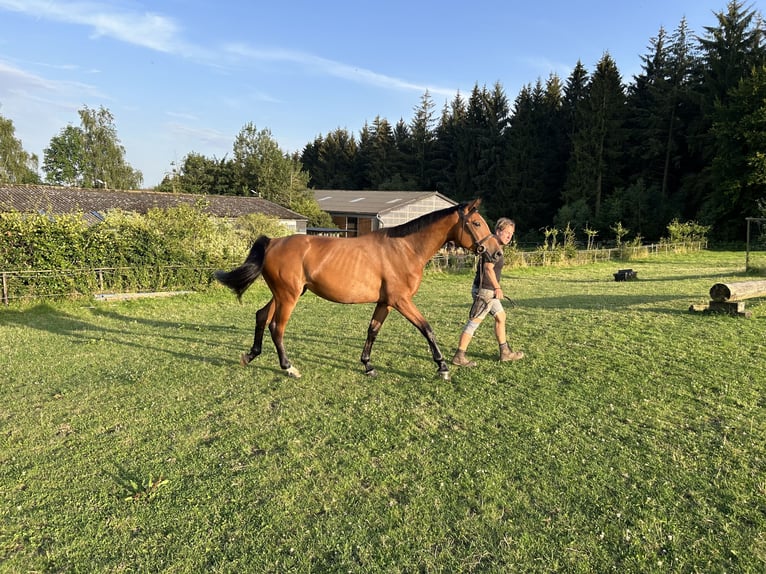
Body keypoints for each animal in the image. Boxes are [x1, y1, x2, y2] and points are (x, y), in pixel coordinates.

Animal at [216, 198, 504, 382]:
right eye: (476, 223)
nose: (497, 252)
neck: (405, 248)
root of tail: (274, 242)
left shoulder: (385, 302)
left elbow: (372, 331)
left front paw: (367, 365)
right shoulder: (401, 301)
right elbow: (427, 329)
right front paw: (442, 367)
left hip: (284, 294)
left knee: (261, 316)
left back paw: (250, 355)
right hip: (288, 296)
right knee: (277, 327)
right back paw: (289, 368)